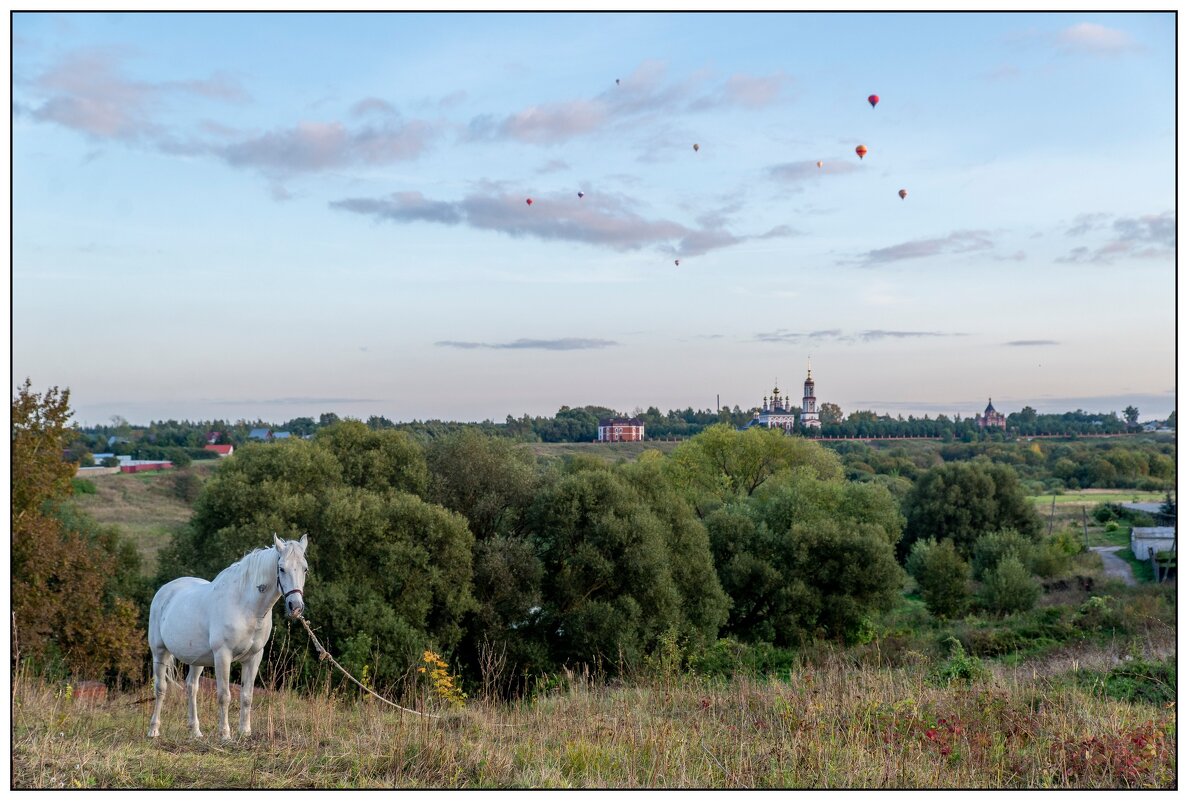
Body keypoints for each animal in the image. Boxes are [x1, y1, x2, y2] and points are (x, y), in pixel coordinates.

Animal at [147, 532, 308, 732]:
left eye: (305, 569)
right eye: (281, 569)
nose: (296, 607)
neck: (245, 606)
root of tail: (165, 590)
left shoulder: (254, 657)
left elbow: (247, 696)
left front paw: (245, 732)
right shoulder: (223, 655)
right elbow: (224, 696)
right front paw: (225, 733)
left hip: (196, 659)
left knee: (192, 687)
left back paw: (195, 731)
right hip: (159, 652)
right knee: (160, 688)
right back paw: (154, 730)